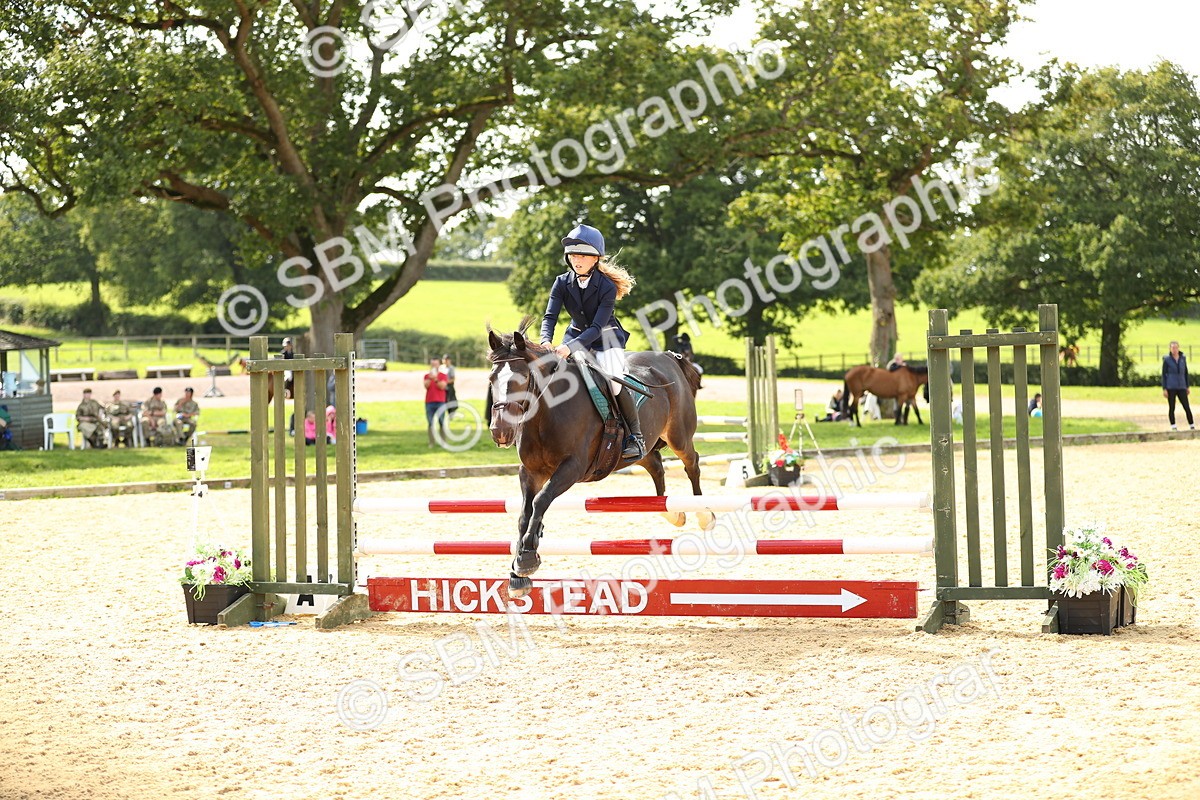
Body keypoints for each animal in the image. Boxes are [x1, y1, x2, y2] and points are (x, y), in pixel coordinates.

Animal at [487, 322, 708, 598]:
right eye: (491, 379)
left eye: (523, 378)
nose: (500, 431)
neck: (546, 413)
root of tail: (669, 357)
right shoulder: (530, 472)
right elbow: (525, 513)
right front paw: (518, 572)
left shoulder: (572, 467)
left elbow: (541, 501)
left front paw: (527, 559)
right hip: (642, 449)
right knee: (655, 465)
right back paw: (673, 513)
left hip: (679, 436)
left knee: (692, 463)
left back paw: (703, 514)